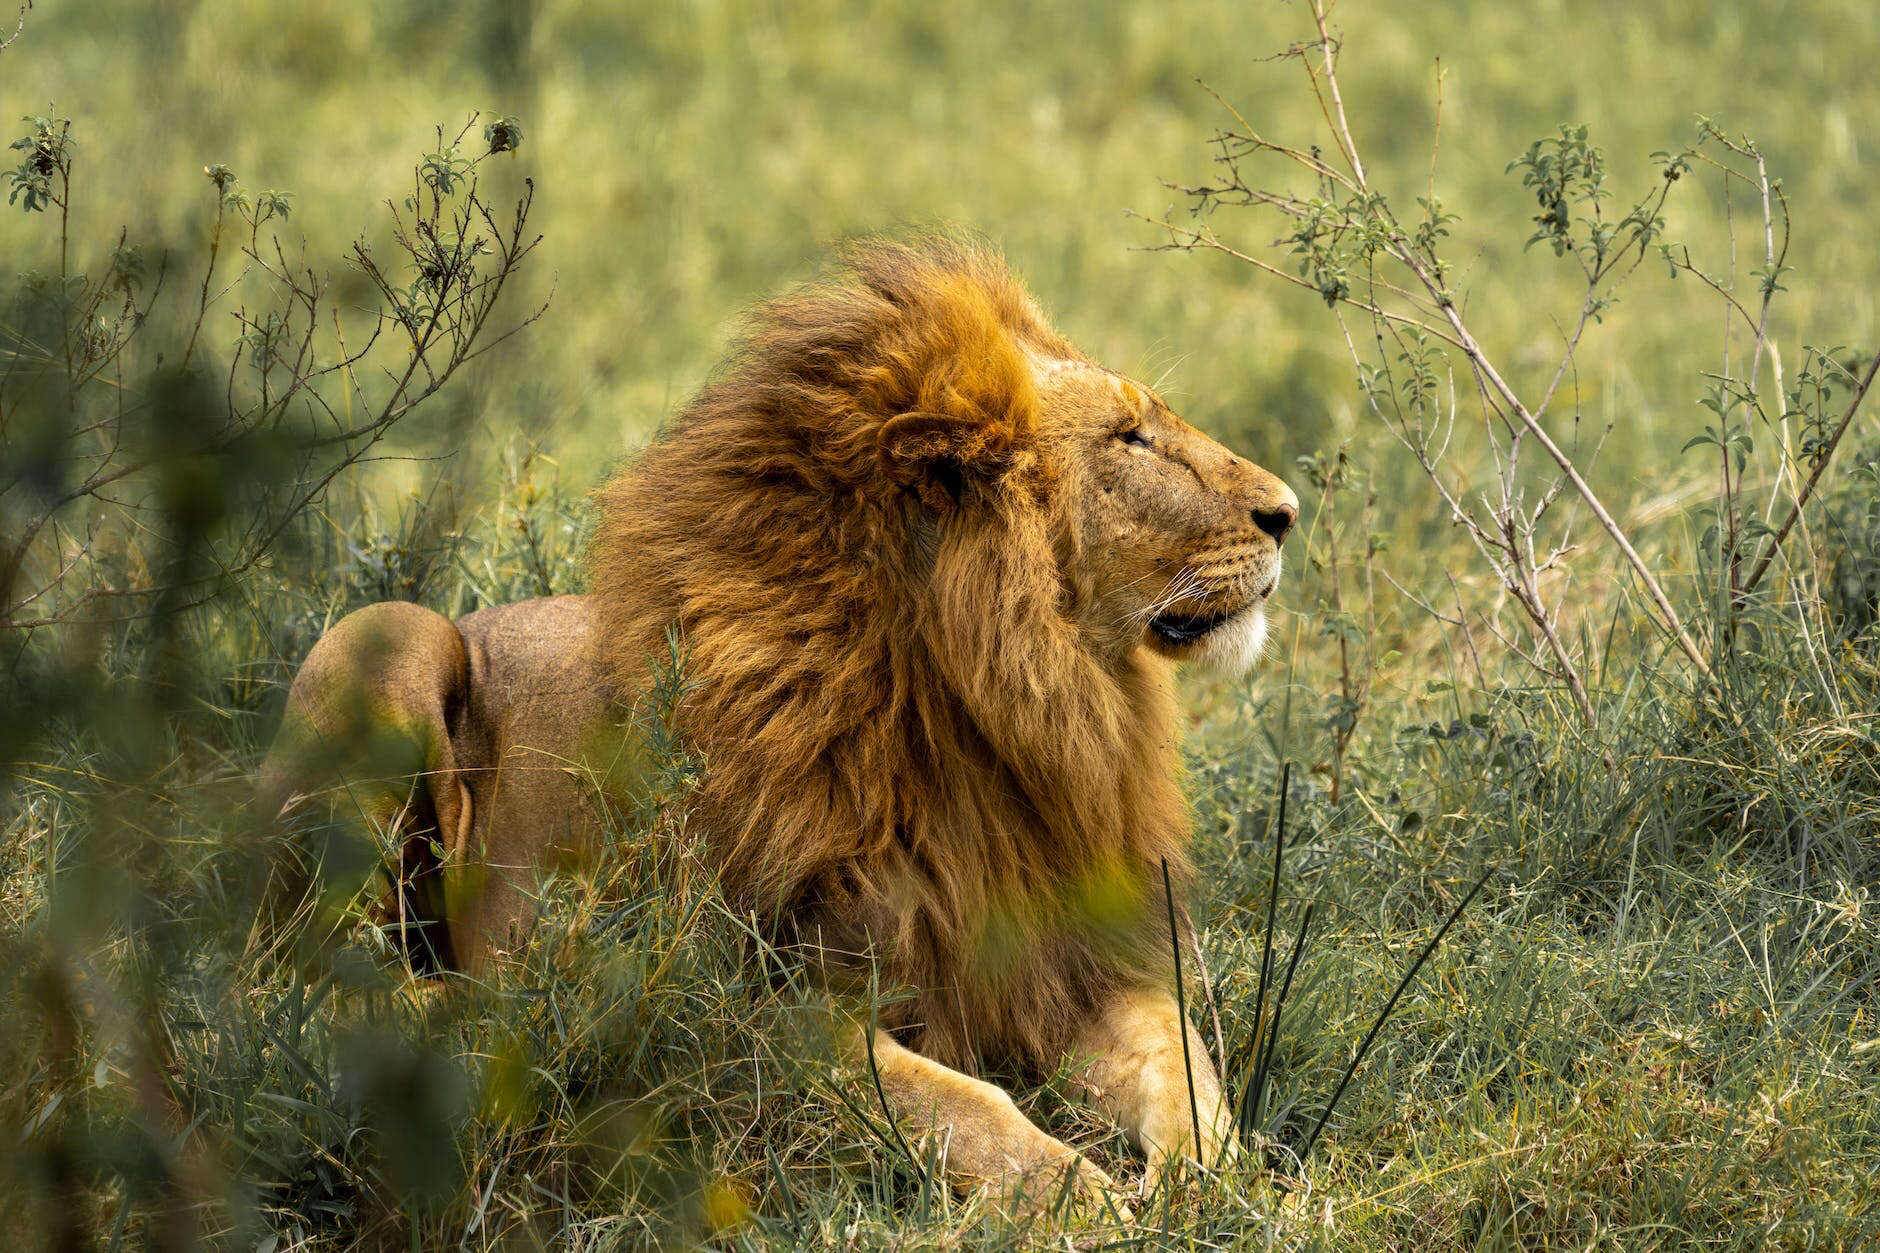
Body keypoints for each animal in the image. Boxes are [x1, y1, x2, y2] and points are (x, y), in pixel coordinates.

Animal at [261, 238, 1293, 1211]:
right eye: (1131, 439)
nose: (1288, 511)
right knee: (301, 981)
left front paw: (1213, 1179)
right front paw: (1076, 1192)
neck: (997, 713)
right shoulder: (740, 1006)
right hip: (387, 638)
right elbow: (958, 1100)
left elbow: (1184, 1066)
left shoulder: (1078, 961)